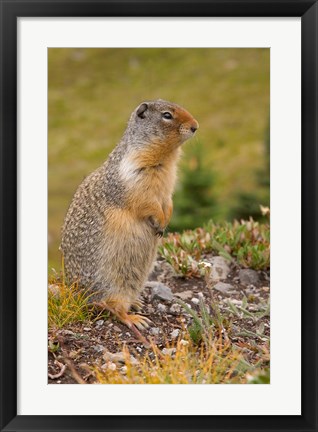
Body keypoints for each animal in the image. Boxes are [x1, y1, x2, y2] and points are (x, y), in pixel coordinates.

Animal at [60, 99, 198, 342]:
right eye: (167, 115)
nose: (195, 126)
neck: (166, 158)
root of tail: (79, 296)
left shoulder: (168, 186)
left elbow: (168, 201)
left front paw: (166, 220)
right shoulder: (134, 176)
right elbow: (146, 202)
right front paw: (159, 222)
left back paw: (137, 302)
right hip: (113, 285)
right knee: (114, 308)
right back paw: (135, 318)